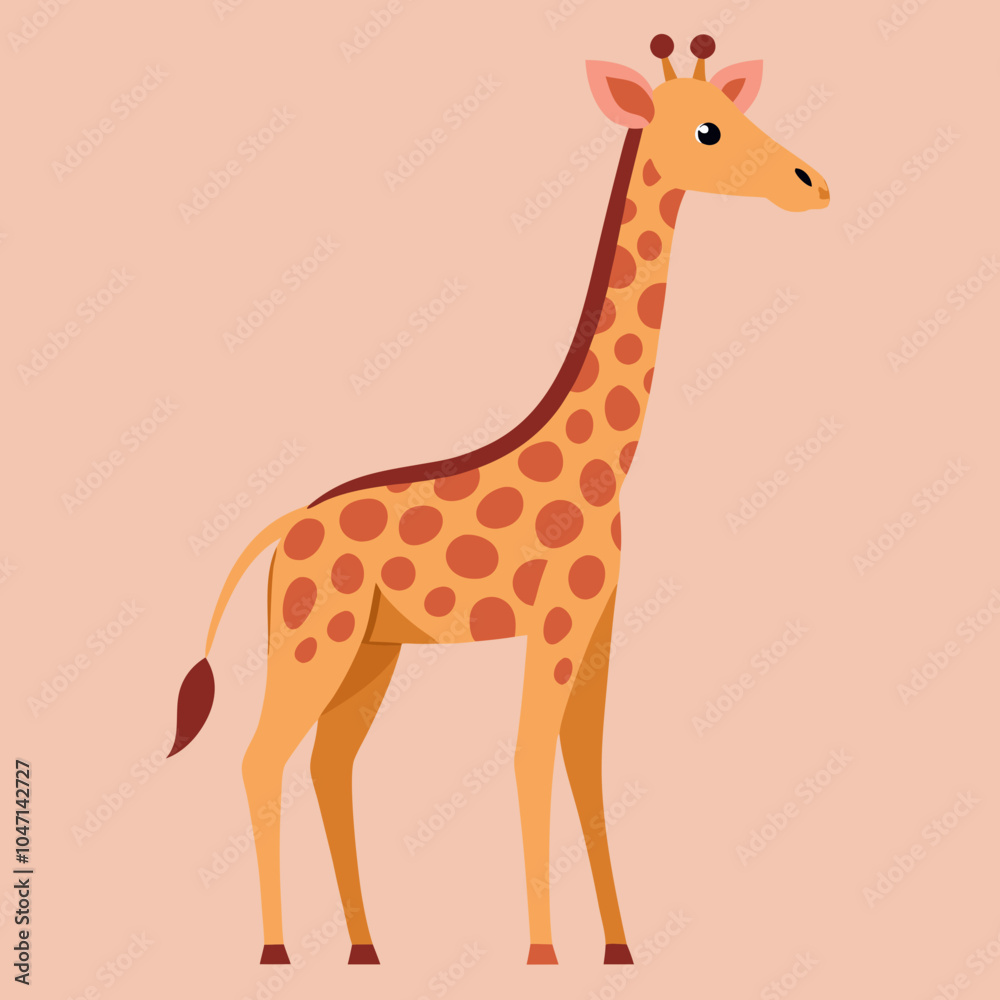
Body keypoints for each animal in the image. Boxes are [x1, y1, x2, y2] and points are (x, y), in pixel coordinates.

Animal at [166, 33, 829, 967]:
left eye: (735, 110)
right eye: (707, 128)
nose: (812, 182)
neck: (606, 463)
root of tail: (282, 530)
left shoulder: (598, 621)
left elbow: (586, 768)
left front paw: (619, 950)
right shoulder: (553, 621)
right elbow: (528, 759)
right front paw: (543, 952)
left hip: (370, 652)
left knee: (330, 764)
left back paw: (367, 949)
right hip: (313, 640)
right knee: (262, 758)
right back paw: (276, 951)